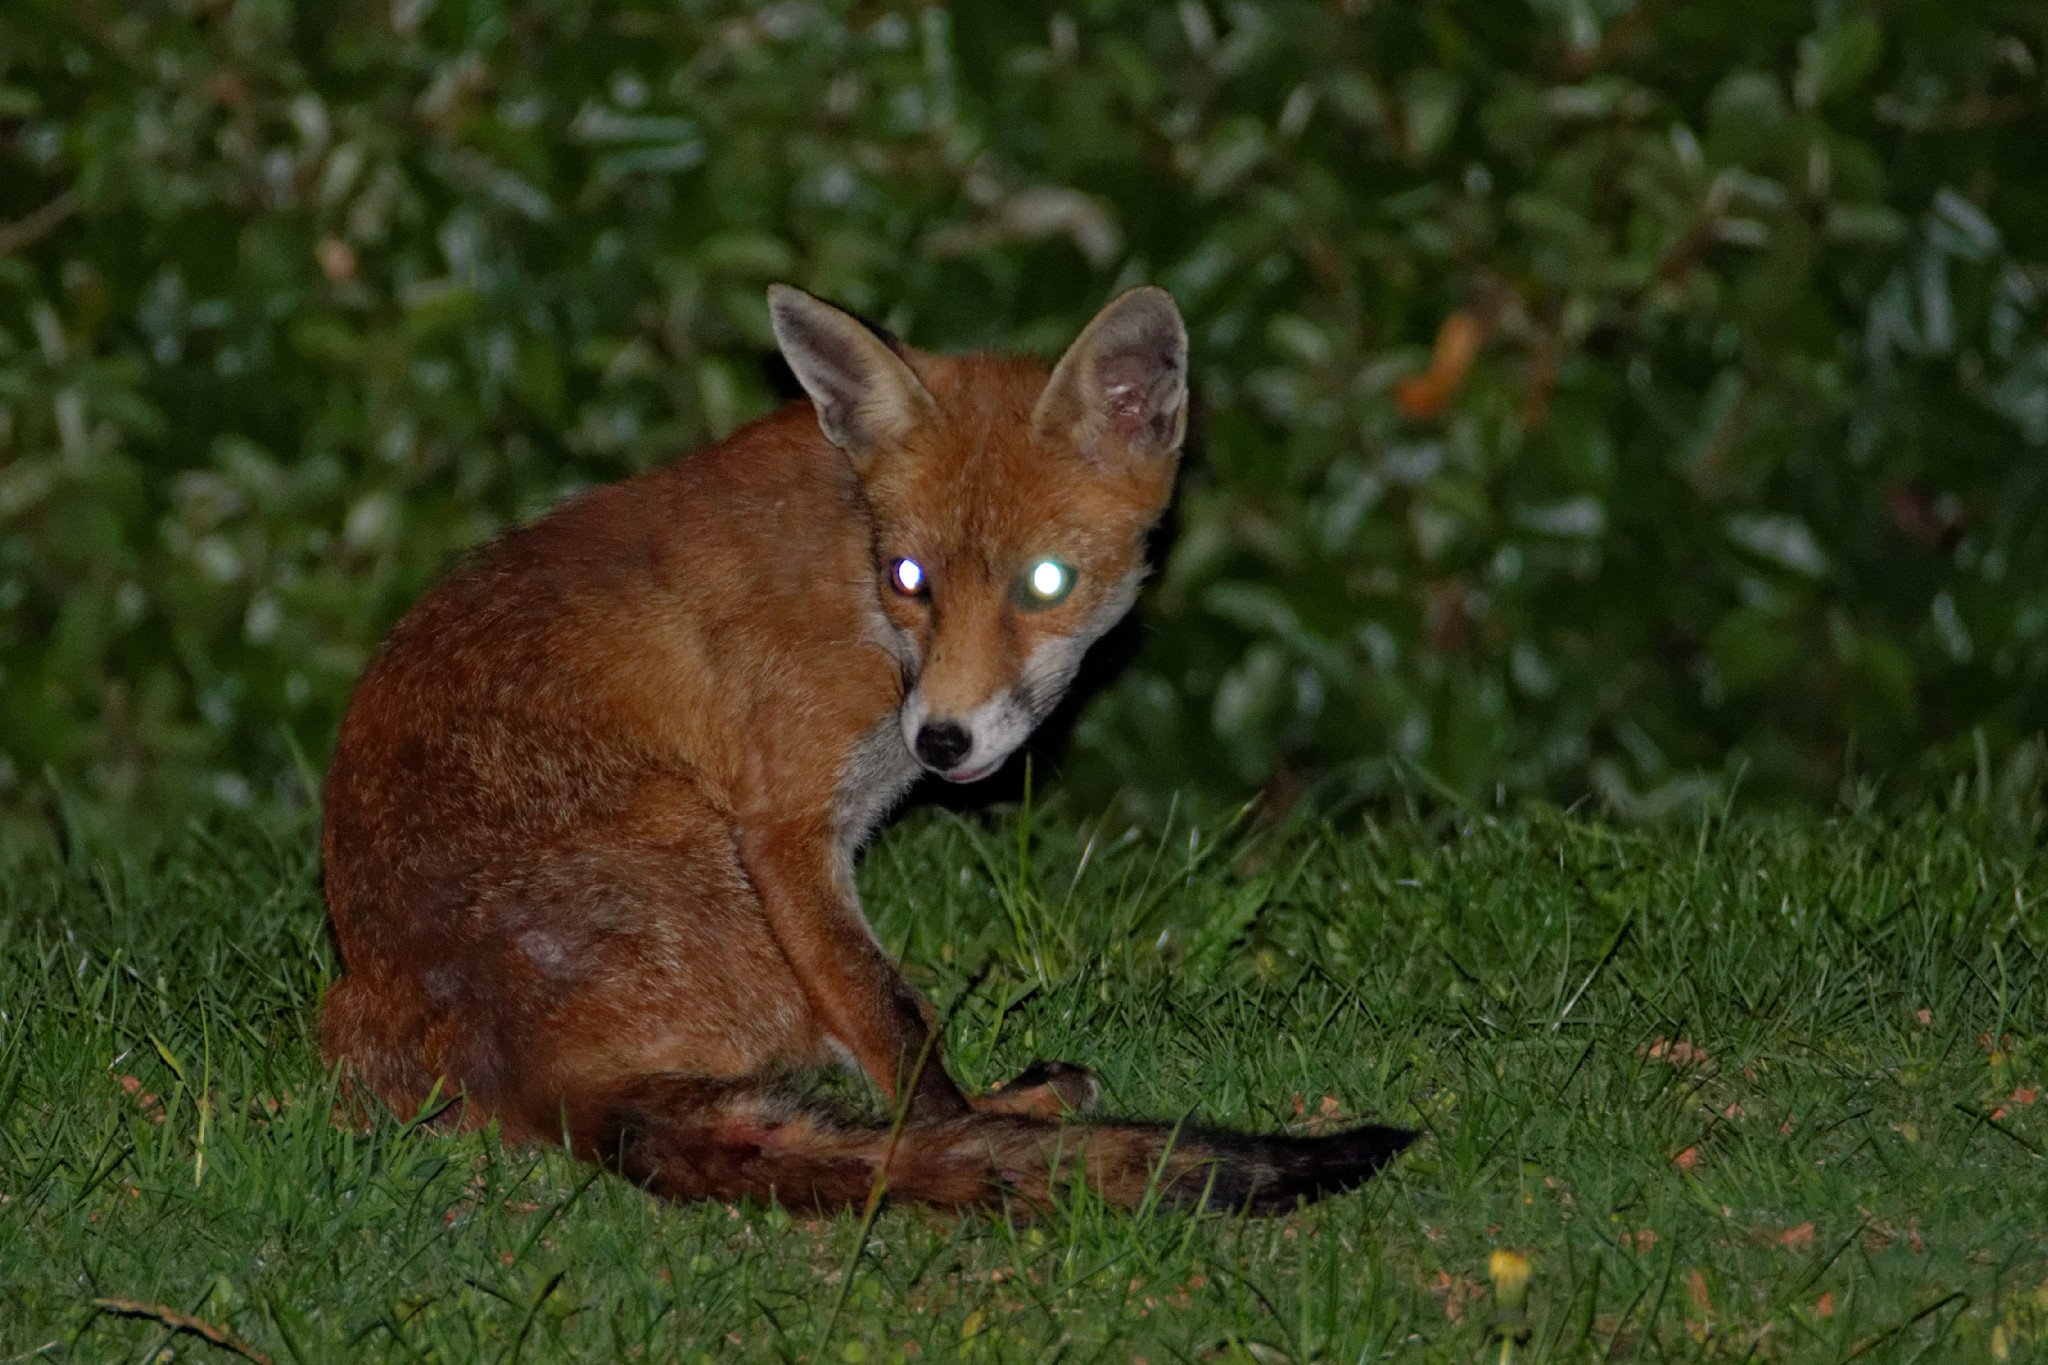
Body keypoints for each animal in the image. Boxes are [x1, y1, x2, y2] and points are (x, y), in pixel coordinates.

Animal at [319, 283, 1412, 1213]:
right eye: (910, 574)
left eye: (1046, 583)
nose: (940, 739)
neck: (859, 592)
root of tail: (521, 1063)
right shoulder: (784, 832)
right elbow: (896, 1033)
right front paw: (968, 1130)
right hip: (721, 878)